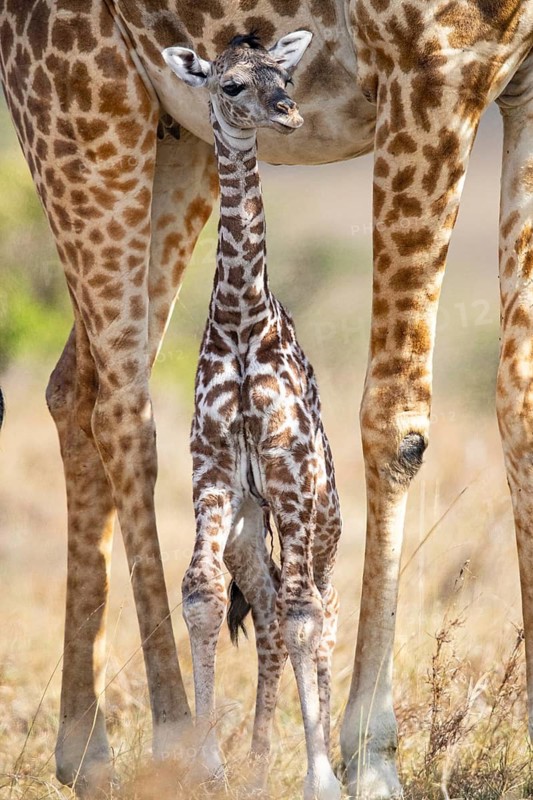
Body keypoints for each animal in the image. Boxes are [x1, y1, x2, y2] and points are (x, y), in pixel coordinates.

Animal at [2, 2, 533, 798]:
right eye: (237, 83)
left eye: (281, 78)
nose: (285, 108)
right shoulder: (431, 68)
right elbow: (397, 419)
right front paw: (368, 758)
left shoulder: (520, 89)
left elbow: (519, 402)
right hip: (82, 115)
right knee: (124, 405)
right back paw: (173, 738)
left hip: (173, 140)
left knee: (76, 387)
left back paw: (88, 751)